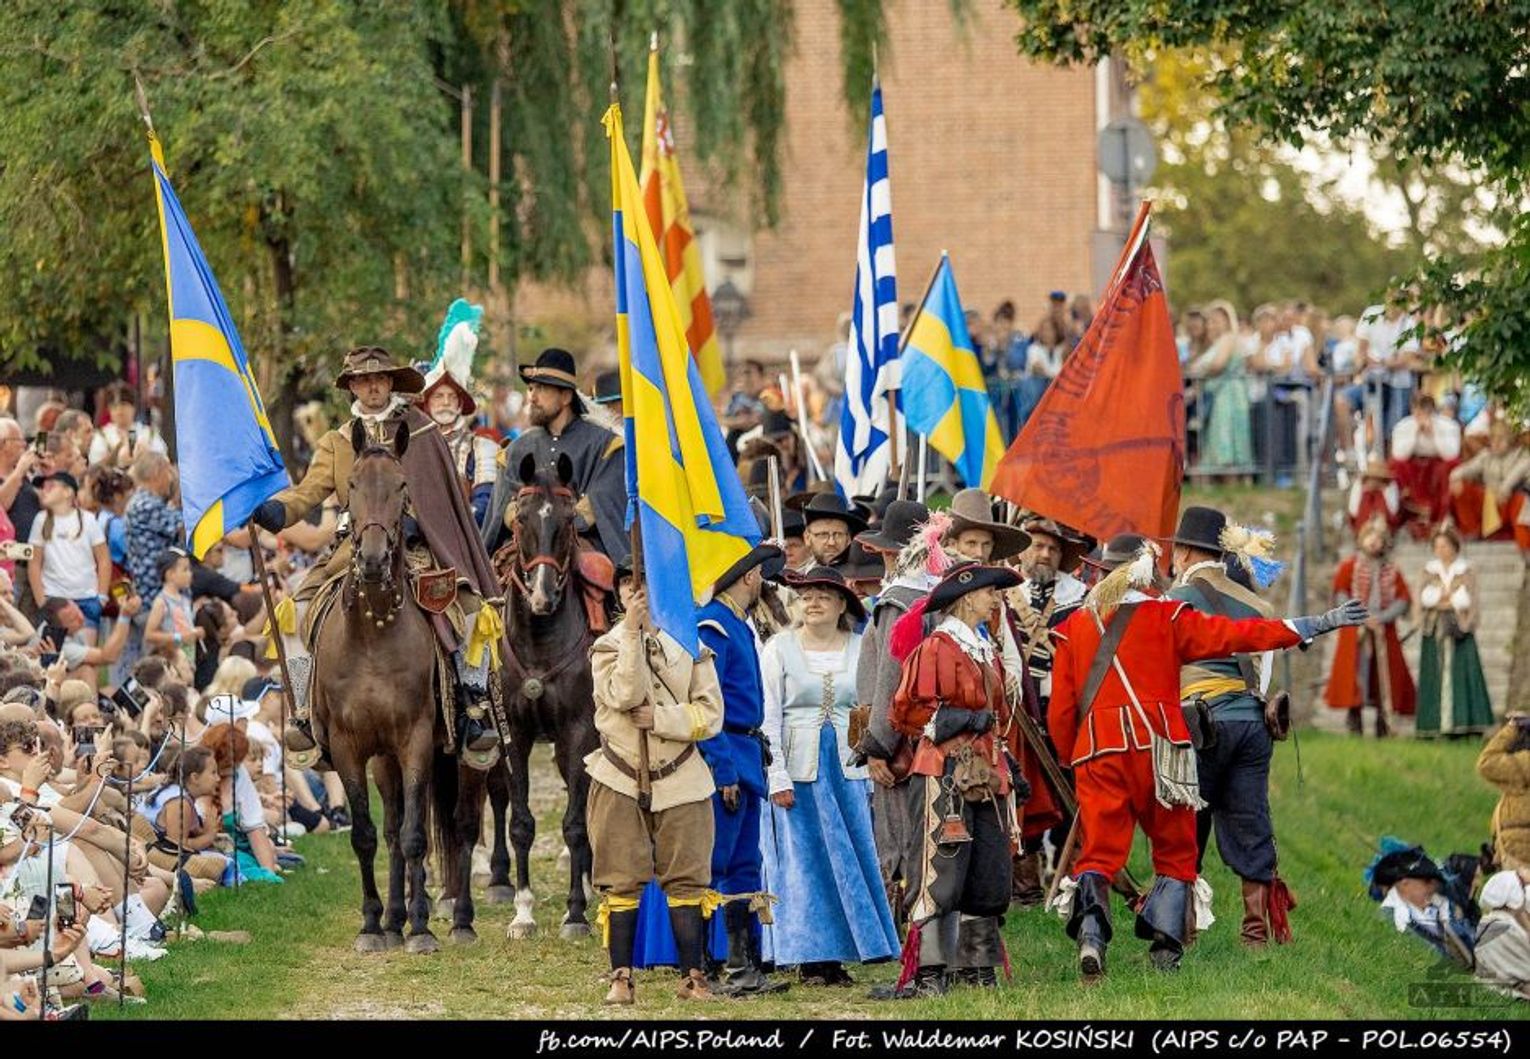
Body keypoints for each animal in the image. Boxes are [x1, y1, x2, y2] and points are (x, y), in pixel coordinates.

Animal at [314, 419, 488, 954]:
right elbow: (369, 835)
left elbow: (416, 836)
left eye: (402, 486)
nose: (372, 560)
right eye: (351, 485)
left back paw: (458, 920)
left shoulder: (416, 739)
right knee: (391, 829)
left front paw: (423, 928)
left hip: (466, 755)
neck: (373, 633)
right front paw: (373, 924)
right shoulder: (350, 747)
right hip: (385, 759)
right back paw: (394, 919)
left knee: (463, 825)